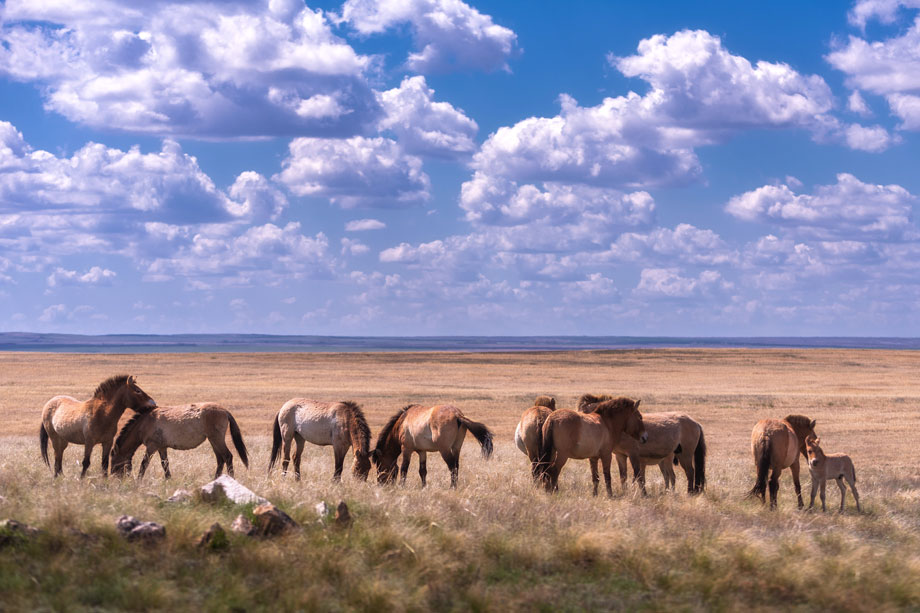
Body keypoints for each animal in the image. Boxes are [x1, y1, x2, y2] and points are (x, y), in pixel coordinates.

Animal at [108, 404, 248, 480]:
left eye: (114, 463)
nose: (116, 480)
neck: (145, 422)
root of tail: (225, 411)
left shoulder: (152, 447)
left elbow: (144, 464)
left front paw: (138, 481)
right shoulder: (162, 447)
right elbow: (165, 464)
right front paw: (169, 480)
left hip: (216, 439)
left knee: (227, 457)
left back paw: (231, 480)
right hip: (213, 440)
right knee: (220, 459)